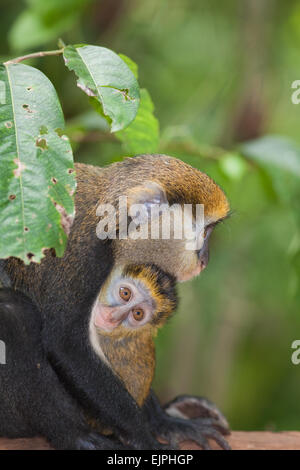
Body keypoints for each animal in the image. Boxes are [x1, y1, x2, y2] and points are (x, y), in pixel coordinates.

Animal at [0, 154, 230, 448]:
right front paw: (145, 438)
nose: (205, 259)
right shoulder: (85, 253)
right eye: (206, 232)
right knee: (13, 312)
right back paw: (75, 436)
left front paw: (164, 423)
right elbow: (67, 343)